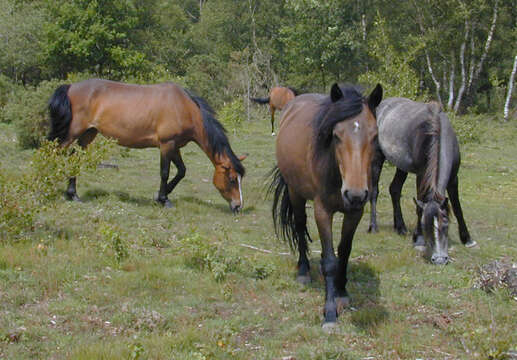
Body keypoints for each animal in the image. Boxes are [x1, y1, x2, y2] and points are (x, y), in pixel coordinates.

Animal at [47, 79, 246, 211]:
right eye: (231, 179)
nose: (238, 206)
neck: (183, 107)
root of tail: (71, 86)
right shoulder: (166, 145)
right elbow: (165, 172)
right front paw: (164, 199)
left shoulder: (174, 146)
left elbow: (181, 171)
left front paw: (160, 195)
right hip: (72, 133)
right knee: (55, 153)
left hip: (88, 134)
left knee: (75, 159)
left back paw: (73, 194)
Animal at [268, 83, 380, 328]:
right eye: (336, 136)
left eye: (375, 136)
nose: (355, 193)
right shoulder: (323, 211)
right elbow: (329, 261)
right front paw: (329, 312)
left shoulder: (355, 212)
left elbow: (344, 252)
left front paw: (342, 292)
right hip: (295, 193)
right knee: (300, 227)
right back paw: (303, 271)